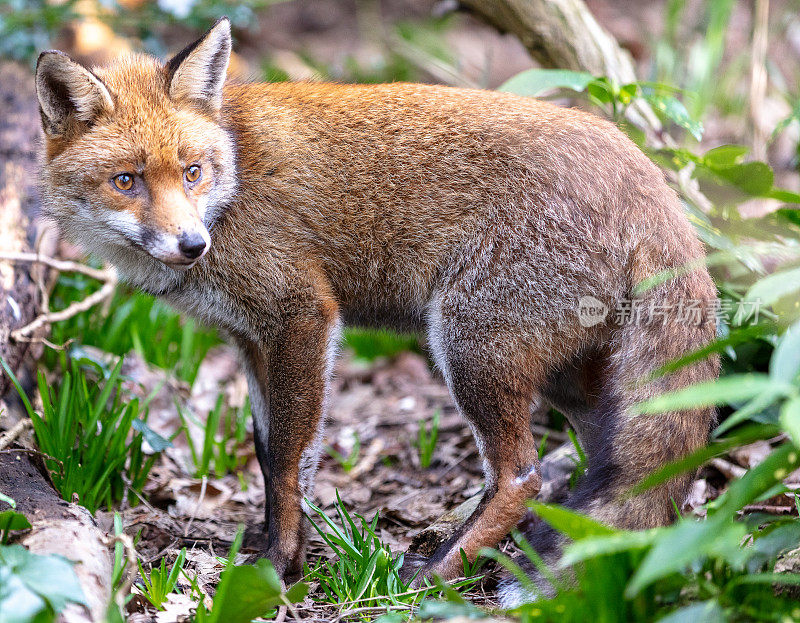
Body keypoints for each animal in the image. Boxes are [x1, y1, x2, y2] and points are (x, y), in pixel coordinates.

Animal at [36, 18, 720, 604]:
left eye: (191, 172)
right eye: (127, 181)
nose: (191, 245)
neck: (235, 184)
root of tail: (648, 178)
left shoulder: (302, 317)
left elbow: (287, 459)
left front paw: (277, 568)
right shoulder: (251, 340)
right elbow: (270, 454)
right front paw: (276, 544)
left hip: (470, 348)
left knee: (523, 477)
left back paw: (438, 572)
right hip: (572, 381)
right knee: (614, 472)